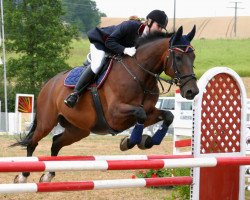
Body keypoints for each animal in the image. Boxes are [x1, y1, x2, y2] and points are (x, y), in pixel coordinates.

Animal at [12, 25, 199, 184]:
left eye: (193, 57)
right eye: (178, 57)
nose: (192, 91)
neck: (140, 74)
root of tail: (48, 84)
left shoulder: (149, 111)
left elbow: (168, 115)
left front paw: (147, 141)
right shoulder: (115, 115)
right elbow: (140, 113)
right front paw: (130, 142)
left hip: (78, 129)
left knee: (56, 142)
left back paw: (48, 174)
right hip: (47, 122)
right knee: (33, 142)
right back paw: (23, 175)